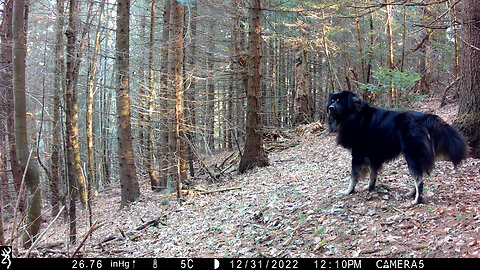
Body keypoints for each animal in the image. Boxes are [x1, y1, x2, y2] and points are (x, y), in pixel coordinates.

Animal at [328, 91, 466, 205]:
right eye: (332, 100)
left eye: (340, 101)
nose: (330, 108)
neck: (355, 115)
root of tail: (424, 118)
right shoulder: (373, 156)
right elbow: (373, 174)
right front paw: (370, 188)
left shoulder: (357, 155)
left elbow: (353, 176)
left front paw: (348, 191)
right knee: (418, 177)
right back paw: (412, 194)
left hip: (412, 155)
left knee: (419, 181)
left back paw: (417, 200)